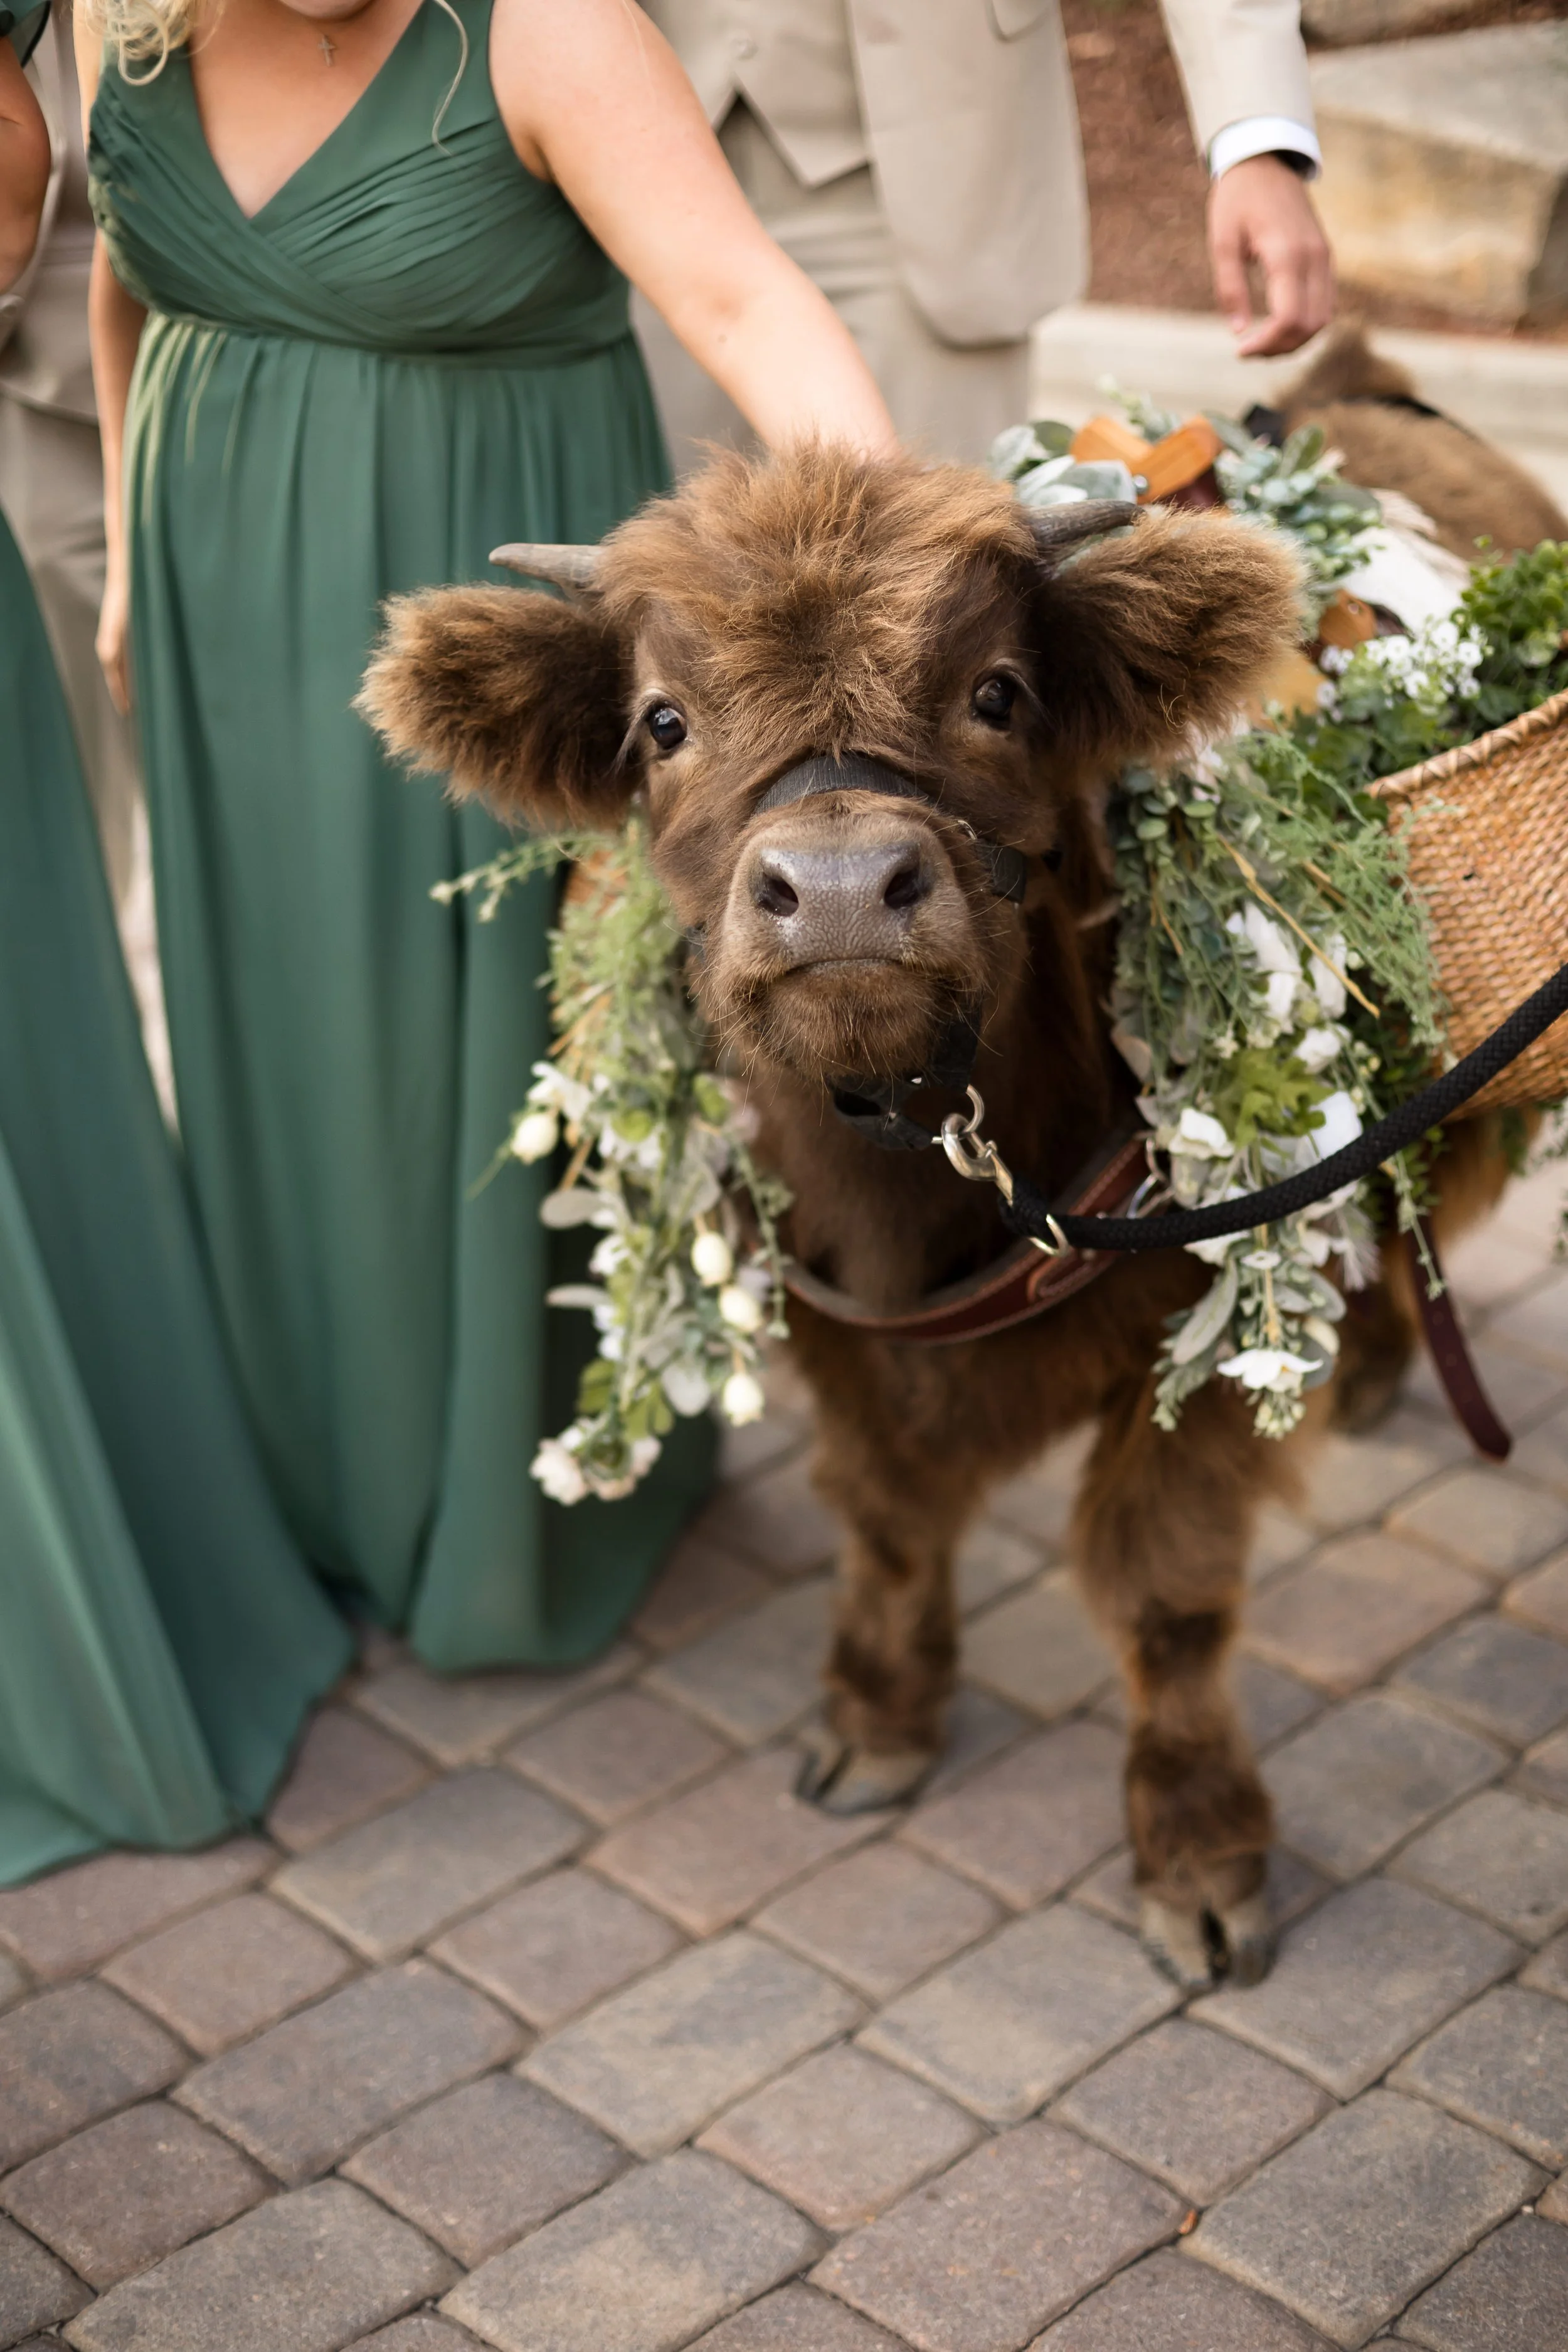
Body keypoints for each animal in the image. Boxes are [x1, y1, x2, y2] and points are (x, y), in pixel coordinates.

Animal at [359, 444, 1488, 1991]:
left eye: (997, 692)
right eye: (663, 720)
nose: (840, 893)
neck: (920, 1184)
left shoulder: (1196, 1362)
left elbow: (1162, 1595)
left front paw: (1198, 1857)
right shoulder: (838, 1334)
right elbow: (891, 1523)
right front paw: (879, 1721)